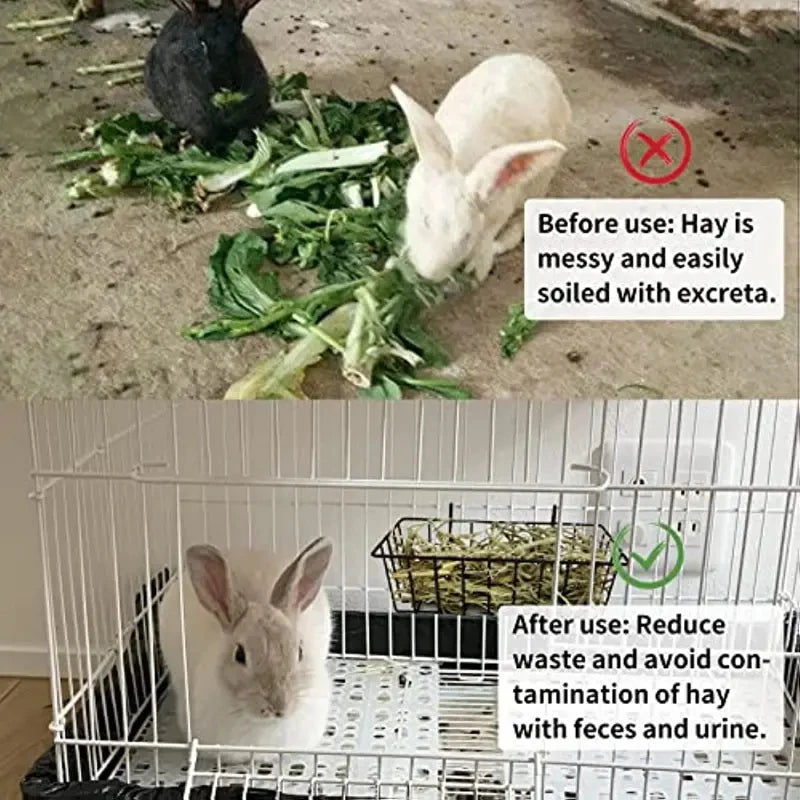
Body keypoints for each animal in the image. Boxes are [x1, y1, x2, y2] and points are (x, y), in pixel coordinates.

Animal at [390, 54, 572, 284]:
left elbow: (487, 236)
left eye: (466, 237)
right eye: (426, 220)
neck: (464, 165)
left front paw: (477, 268)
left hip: (539, 185)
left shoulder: (500, 211)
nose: (428, 273)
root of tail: (533, 60)